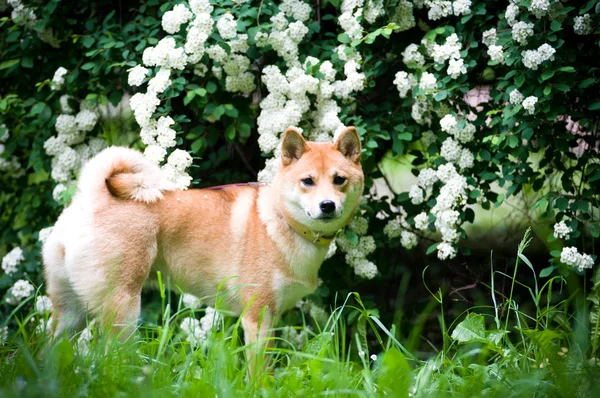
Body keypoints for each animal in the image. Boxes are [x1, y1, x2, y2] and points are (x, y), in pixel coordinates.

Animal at [43, 126, 360, 368]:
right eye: (308, 181)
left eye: (339, 180)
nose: (327, 205)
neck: (282, 221)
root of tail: (92, 197)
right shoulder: (257, 319)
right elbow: (259, 373)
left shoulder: (273, 318)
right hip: (123, 310)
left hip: (70, 314)